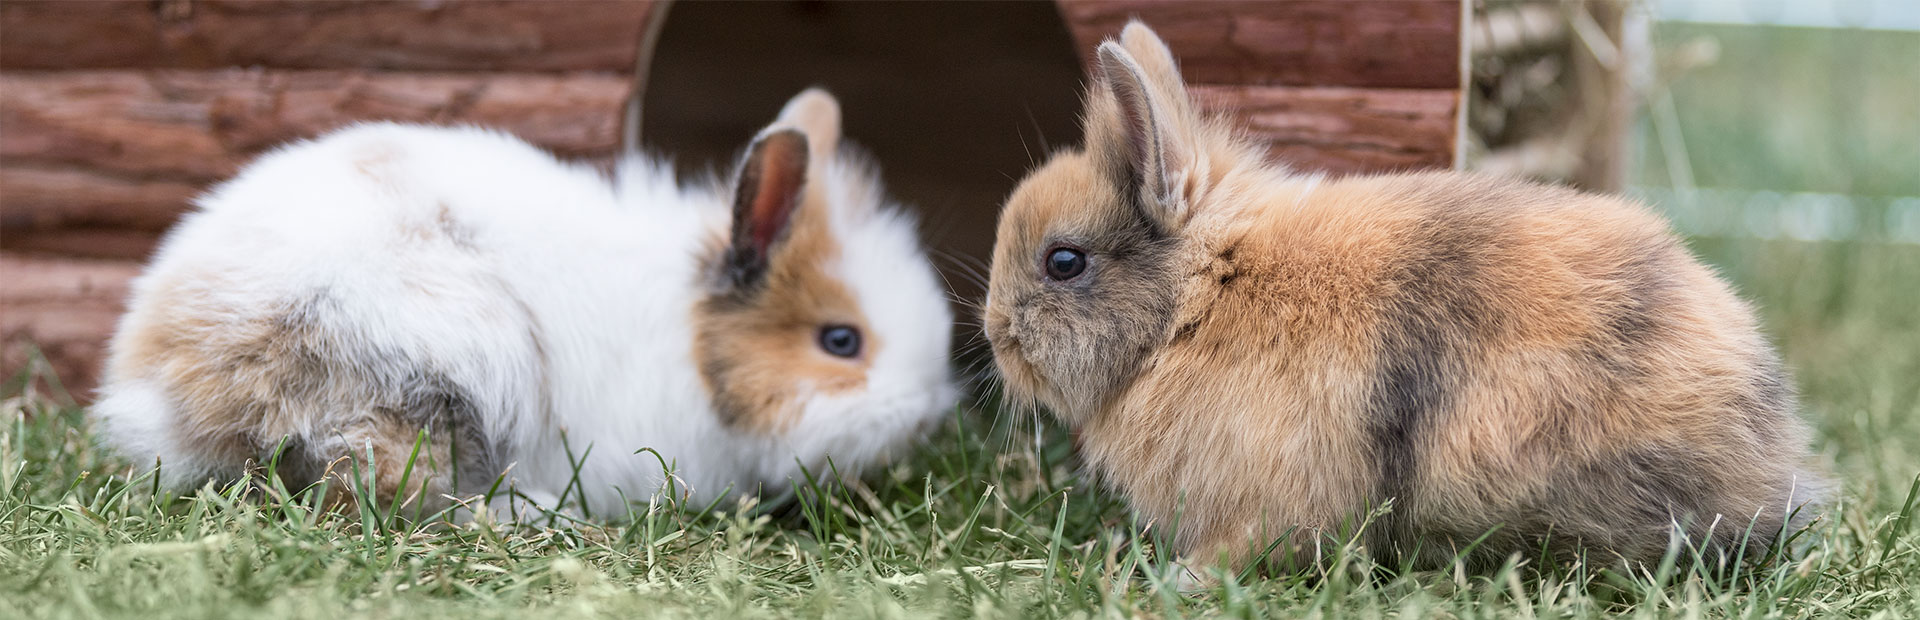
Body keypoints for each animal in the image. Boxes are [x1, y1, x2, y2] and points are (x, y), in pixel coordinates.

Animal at [91, 88, 960, 518]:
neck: (691, 340)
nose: (927, 417)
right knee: (384, 495)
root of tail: (177, 392)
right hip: (451, 373)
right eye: (841, 342)